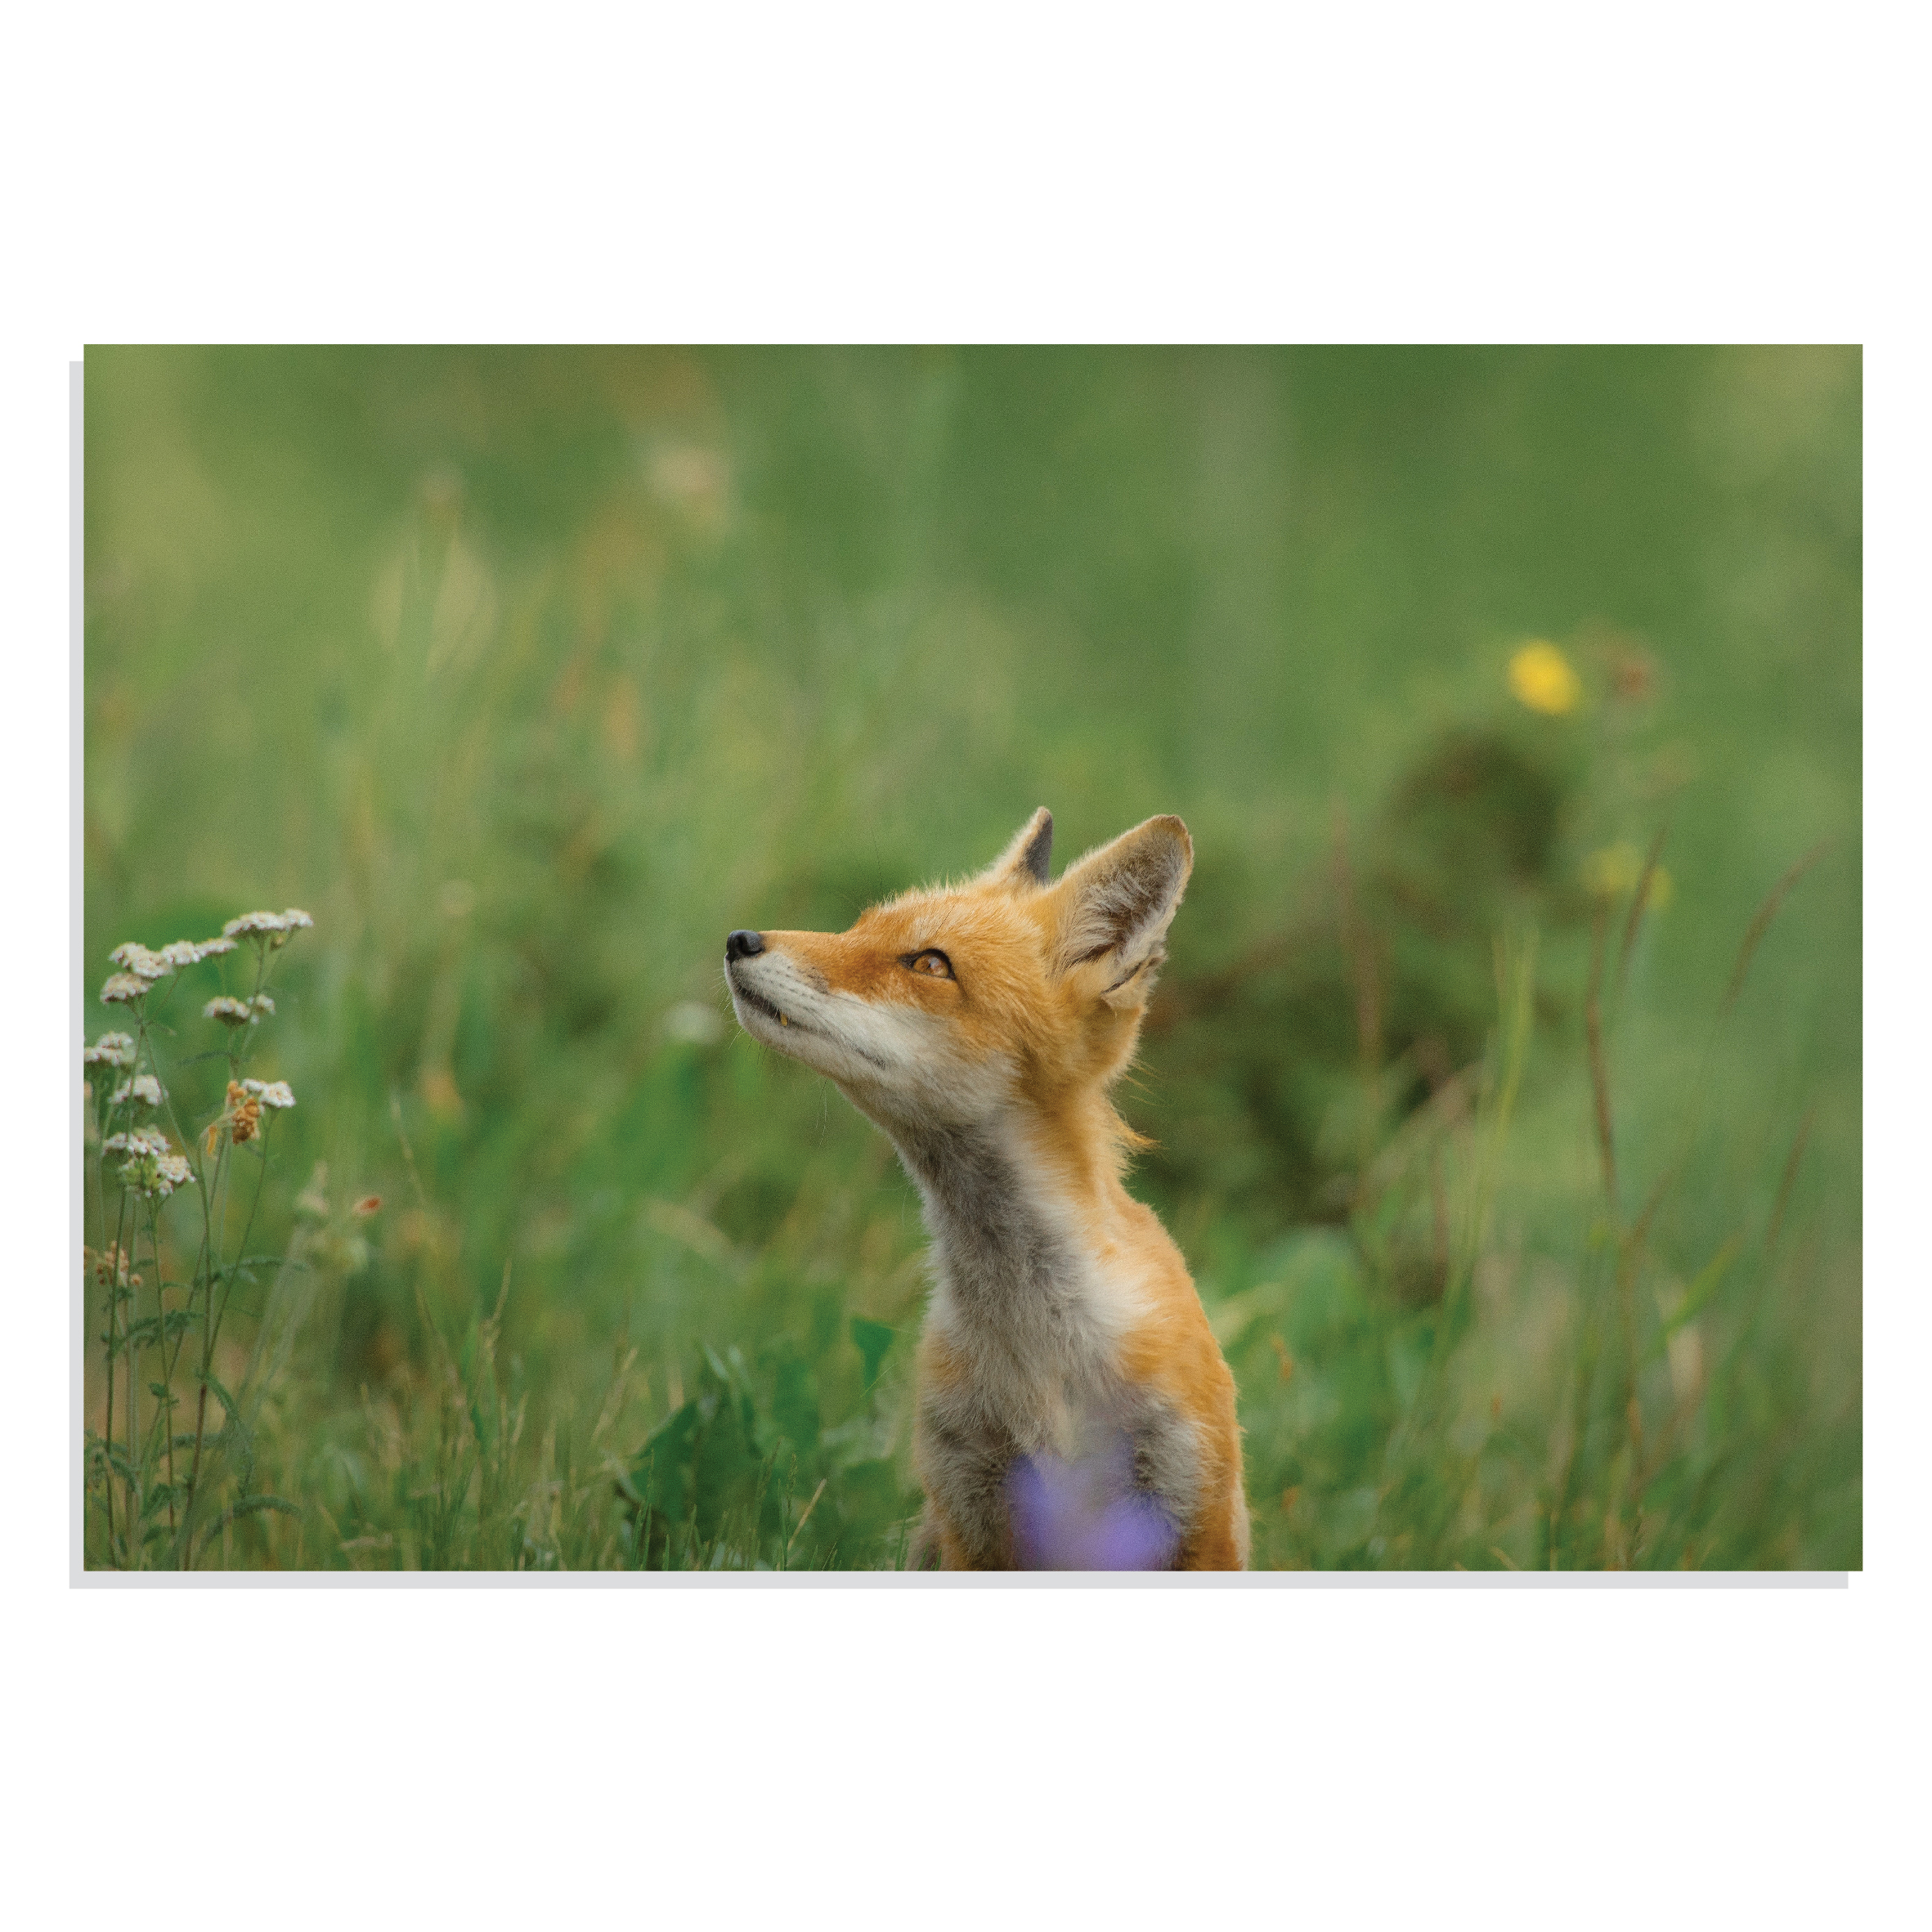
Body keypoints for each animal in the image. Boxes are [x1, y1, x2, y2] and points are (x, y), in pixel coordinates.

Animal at [722, 808, 1249, 1571]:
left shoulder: (1193, 1513)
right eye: (858, 928)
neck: (1037, 1351)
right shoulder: (968, 1508)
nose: (739, 940)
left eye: (928, 963)